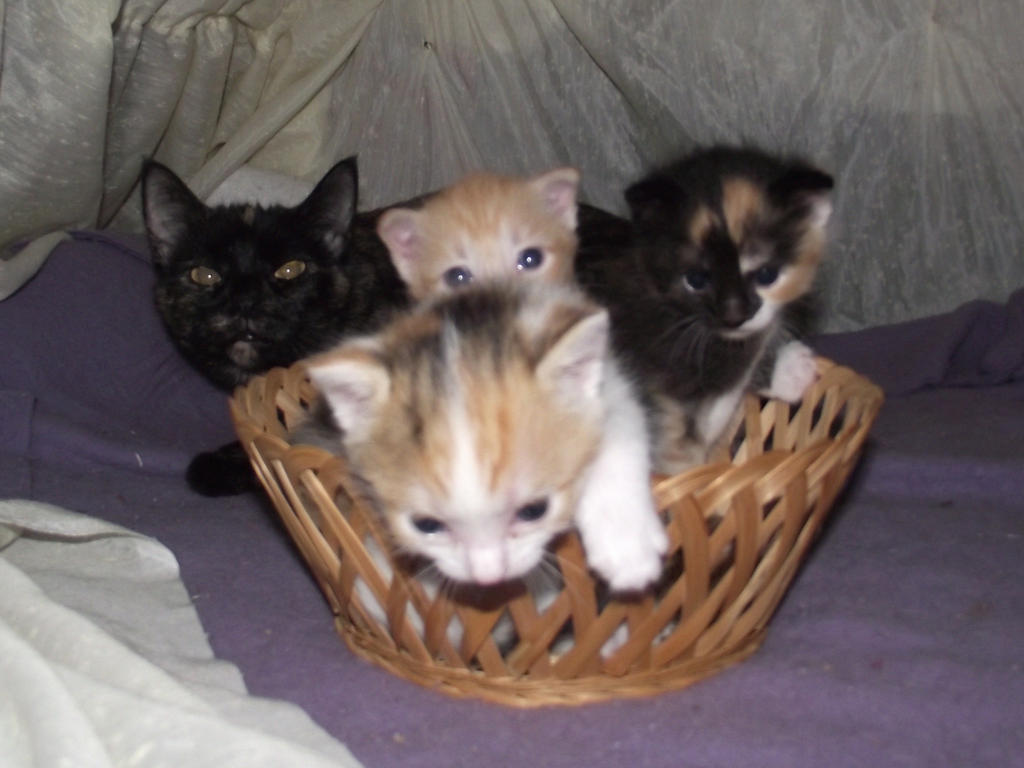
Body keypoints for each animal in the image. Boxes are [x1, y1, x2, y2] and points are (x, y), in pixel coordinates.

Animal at [303, 286, 667, 593]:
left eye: (534, 510)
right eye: (426, 525)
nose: (488, 576)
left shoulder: (613, 384)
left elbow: (619, 429)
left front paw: (626, 546)